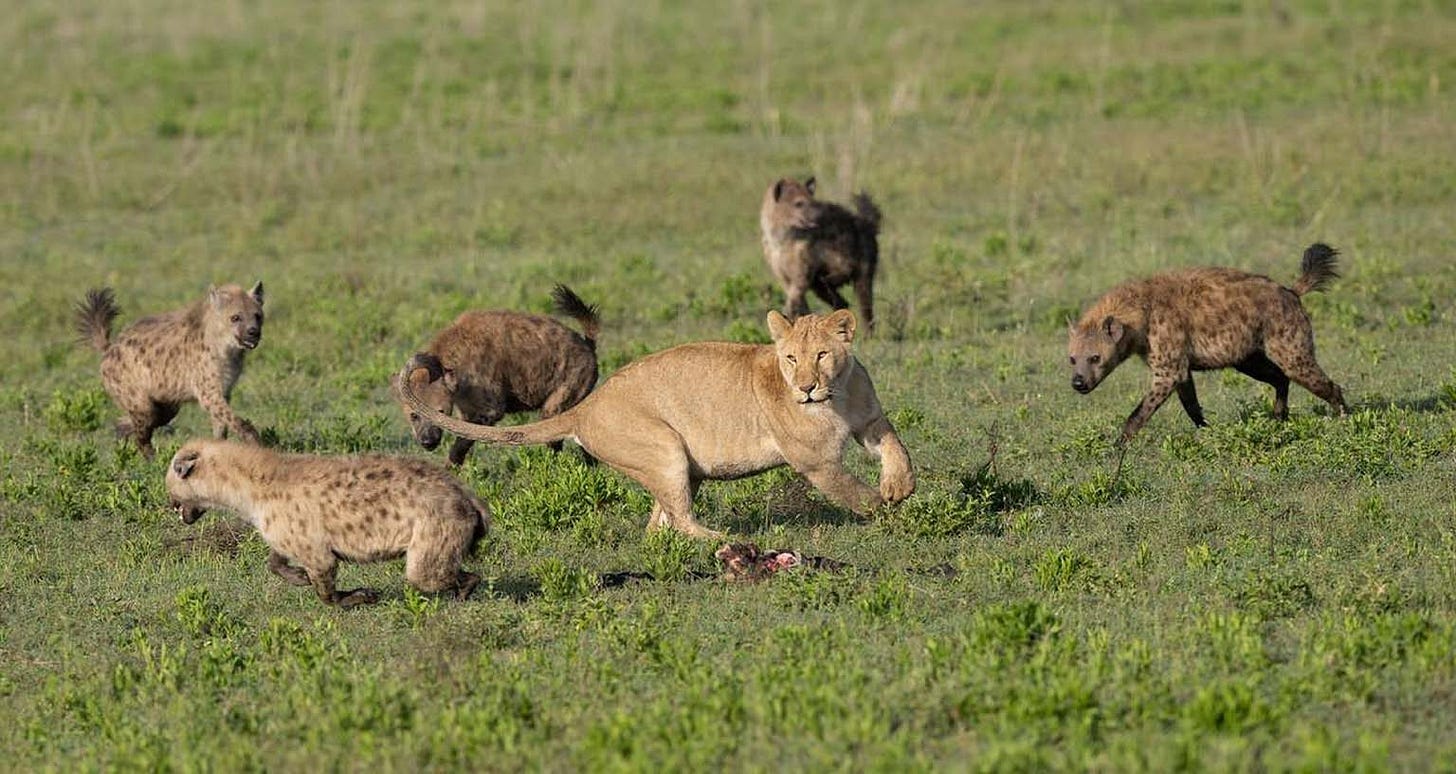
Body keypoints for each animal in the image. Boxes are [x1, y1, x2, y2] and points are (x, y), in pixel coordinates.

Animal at [394, 309, 915, 538]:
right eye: (791, 359)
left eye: (822, 355)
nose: (805, 388)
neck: (836, 395)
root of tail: (586, 407)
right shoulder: (816, 462)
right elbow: (854, 493)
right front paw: (887, 511)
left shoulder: (870, 417)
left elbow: (895, 446)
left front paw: (899, 486)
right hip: (663, 447)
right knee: (680, 521)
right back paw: (727, 541)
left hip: (679, 467)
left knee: (658, 524)